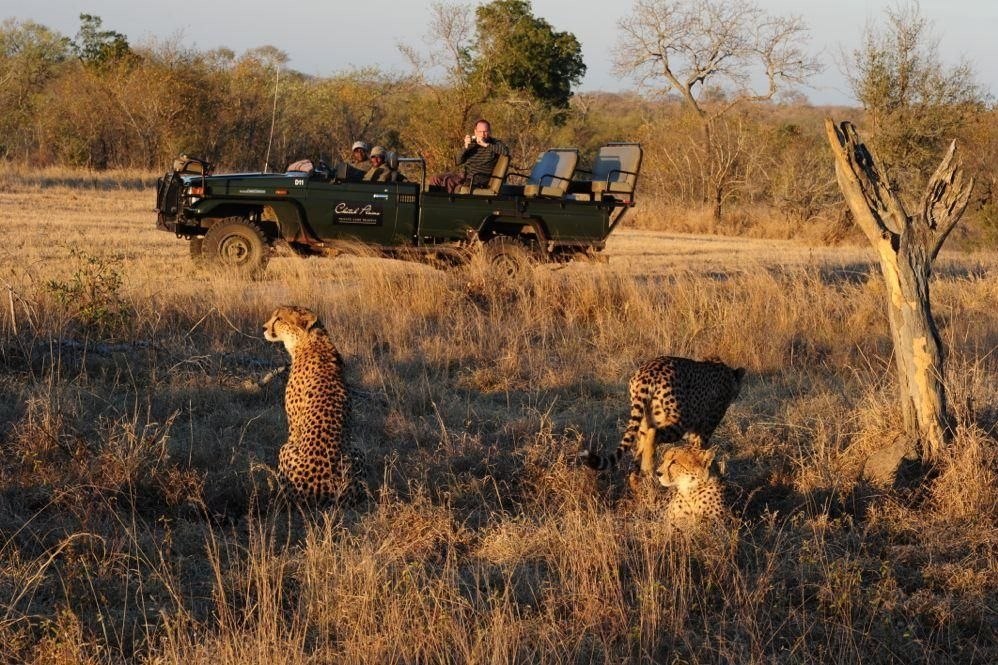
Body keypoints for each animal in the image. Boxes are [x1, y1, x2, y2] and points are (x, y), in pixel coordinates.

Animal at [264, 304, 366, 504]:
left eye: (278, 318)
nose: (264, 327)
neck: (311, 341)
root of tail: (329, 492)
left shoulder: (294, 428)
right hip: (357, 449)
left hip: (286, 449)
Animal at [580, 356, 744, 486]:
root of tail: (646, 372)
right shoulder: (704, 430)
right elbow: (702, 451)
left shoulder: (695, 431)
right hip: (679, 421)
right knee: (653, 434)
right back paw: (648, 470)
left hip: (644, 420)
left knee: (640, 445)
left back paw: (636, 479)